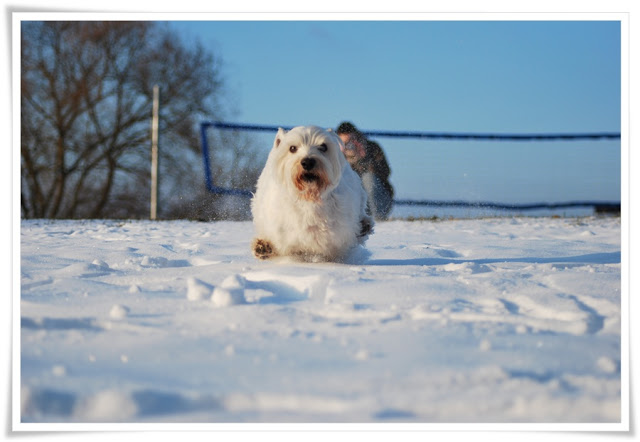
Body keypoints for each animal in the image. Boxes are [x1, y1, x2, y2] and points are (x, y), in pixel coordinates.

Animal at [249, 126, 370, 260]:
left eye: (323, 147)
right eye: (292, 148)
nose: (307, 162)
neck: (309, 197)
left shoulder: (341, 235)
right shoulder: (283, 235)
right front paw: (264, 247)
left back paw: (364, 225)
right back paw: (262, 247)